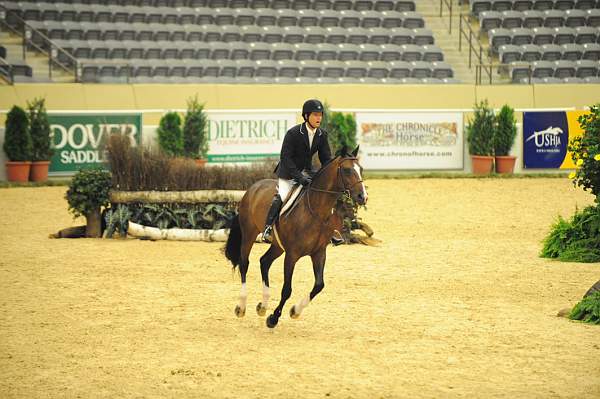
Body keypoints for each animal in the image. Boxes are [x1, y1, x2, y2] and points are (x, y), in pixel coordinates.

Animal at [224, 146, 366, 328]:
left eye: (360, 169)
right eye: (347, 170)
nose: (363, 197)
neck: (317, 211)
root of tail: (252, 188)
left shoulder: (319, 253)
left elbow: (319, 285)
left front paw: (295, 311)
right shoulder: (292, 255)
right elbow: (287, 289)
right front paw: (273, 318)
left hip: (277, 246)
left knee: (264, 262)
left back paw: (262, 306)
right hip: (249, 233)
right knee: (244, 264)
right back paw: (241, 307)